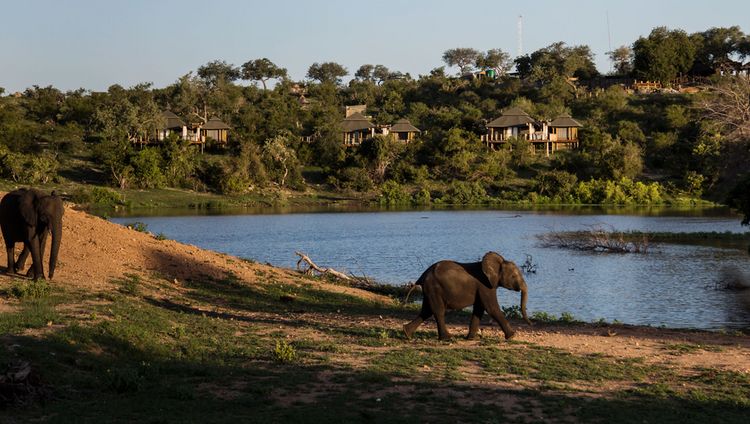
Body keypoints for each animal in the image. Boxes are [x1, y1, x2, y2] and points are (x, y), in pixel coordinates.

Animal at [402, 252, 532, 342]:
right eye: (514, 276)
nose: (530, 323)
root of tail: (422, 276)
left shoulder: (483, 287)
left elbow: (479, 309)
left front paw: (471, 338)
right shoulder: (485, 285)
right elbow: (491, 308)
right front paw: (512, 336)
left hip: (430, 290)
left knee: (426, 311)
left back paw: (407, 333)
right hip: (434, 287)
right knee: (438, 311)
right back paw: (447, 338)